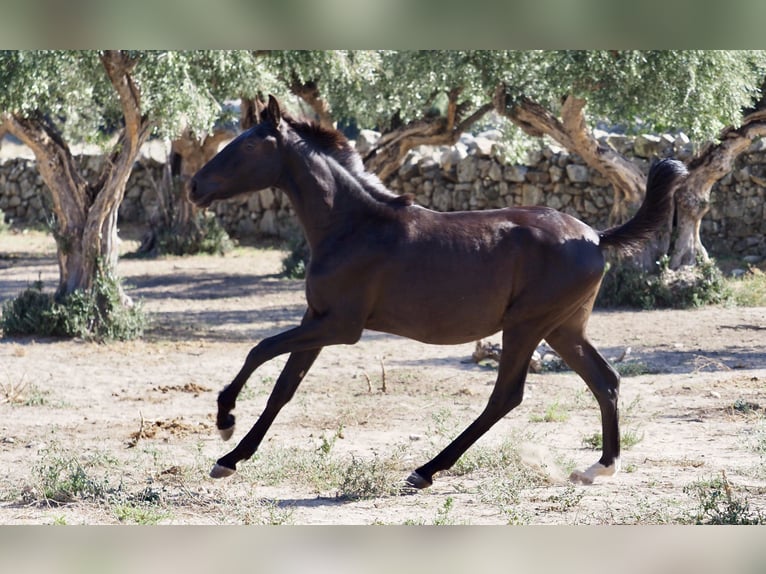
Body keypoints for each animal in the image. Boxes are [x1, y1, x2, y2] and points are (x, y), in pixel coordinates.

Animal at [190, 95, 688, 490]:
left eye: (248, 144)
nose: (195, 186)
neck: (352, 226)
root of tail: (596, 237)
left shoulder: (341, 325)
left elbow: (258, 349)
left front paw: (224, 421)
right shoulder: (316, 319)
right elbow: (283, 387)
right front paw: (230, 459)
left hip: (527, 325)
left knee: (507, 396)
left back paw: (425, 470)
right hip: (564, 327)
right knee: (606, 381)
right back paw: (599, 467)